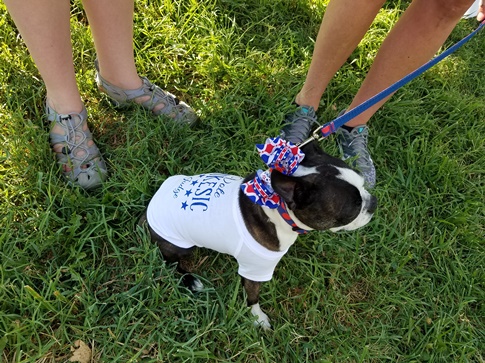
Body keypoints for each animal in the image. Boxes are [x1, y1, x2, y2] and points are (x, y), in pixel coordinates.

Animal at [138, 141, 376, 328]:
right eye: (353, 208)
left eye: (364, 184)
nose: (373, 201)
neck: (277, 208)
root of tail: (147, 212)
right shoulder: (254, 269)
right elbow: (252, 296)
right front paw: (257, 319)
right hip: (181, 245)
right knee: (169, 261)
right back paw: (190, 280)